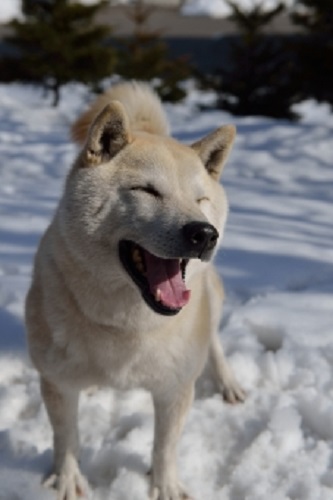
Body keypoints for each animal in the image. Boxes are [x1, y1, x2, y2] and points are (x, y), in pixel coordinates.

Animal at [25, 80, 244, 498]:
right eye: (147, 190)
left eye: (200, 199)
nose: (204, 233)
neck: (127, 326)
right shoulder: (58, 383)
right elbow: (67, 437)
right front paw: (67, 480)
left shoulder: (175, 389)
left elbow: (165, 445)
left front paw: (165, 485)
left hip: (213, 298)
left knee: (214, 341)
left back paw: (228, 382)